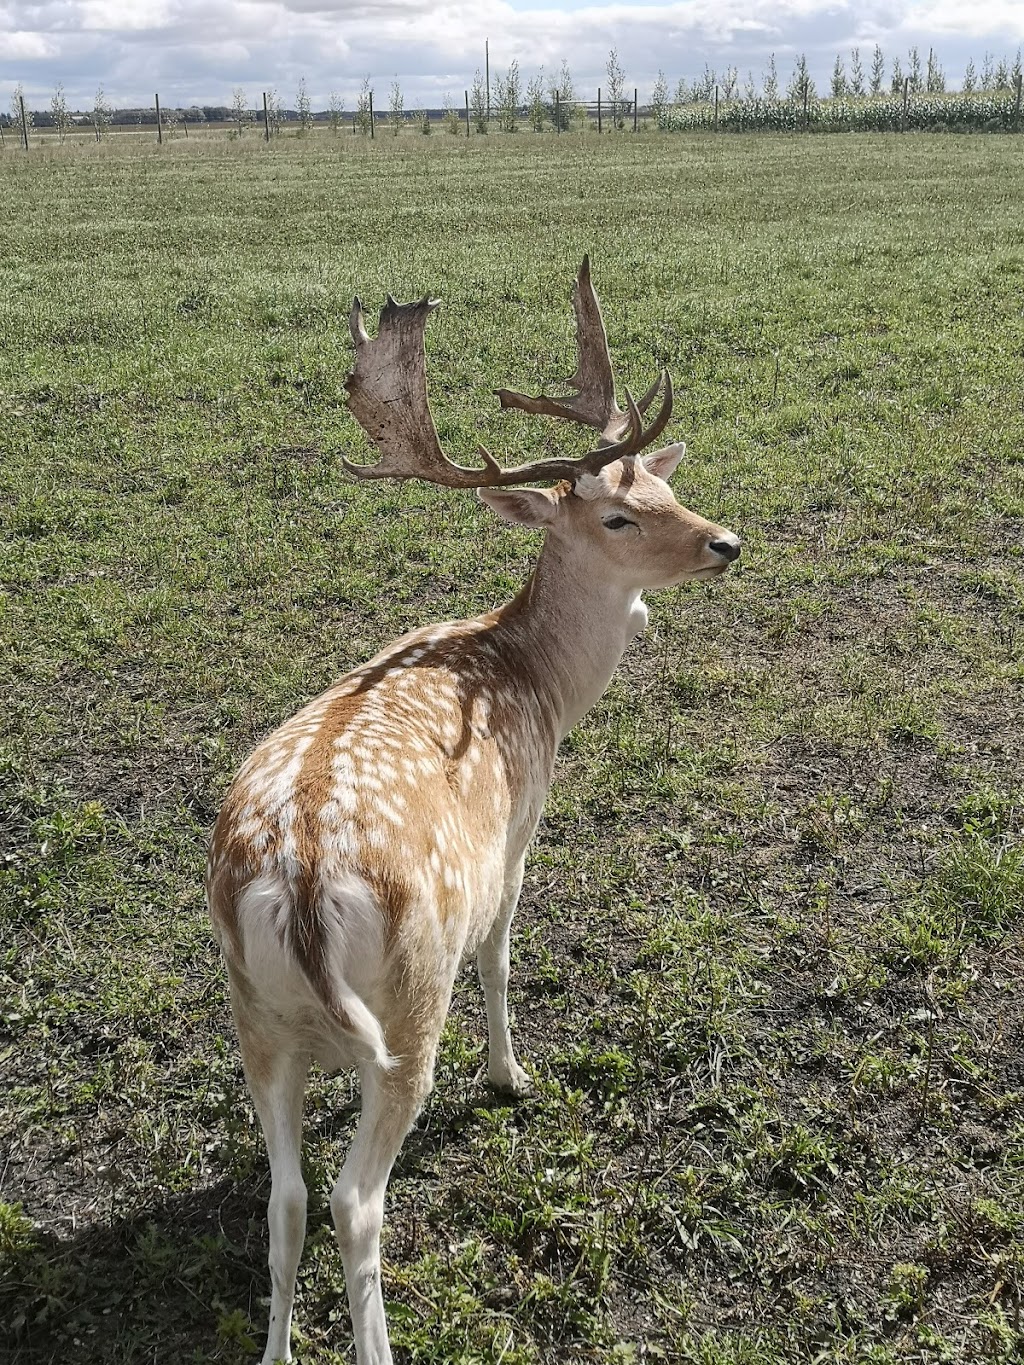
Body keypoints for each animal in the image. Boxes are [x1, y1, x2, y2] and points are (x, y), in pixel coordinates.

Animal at [205, 257, 741, 1365]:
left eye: (664, 485)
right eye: (616, 516)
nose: (726, 542)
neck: (538, 680)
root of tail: (300, 880)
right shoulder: (517, 828)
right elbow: (501, 951)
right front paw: (510, 1074)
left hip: (254, 1017)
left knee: (287, 1198)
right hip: (411, 1001)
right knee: (354, 1202)